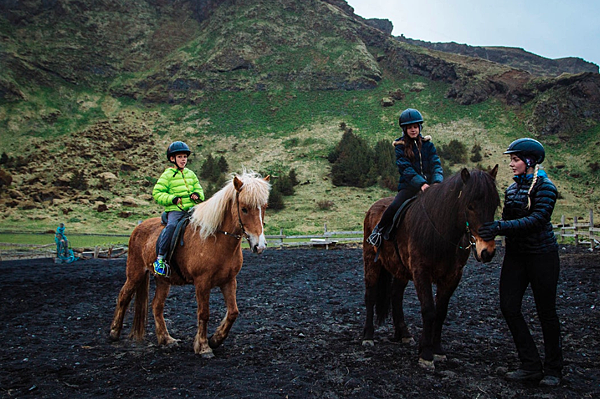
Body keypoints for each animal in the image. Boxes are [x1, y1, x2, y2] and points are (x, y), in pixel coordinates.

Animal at [110, 170, 272, 358]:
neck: (214, 238)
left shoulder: (229, 280)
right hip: (135, 273)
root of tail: (138, 227)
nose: (259, 245)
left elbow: (233, 312)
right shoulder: (202, 283)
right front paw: (203, 346)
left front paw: (215, 339)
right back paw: (114, 332)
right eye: (244, 209)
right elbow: (204, 313)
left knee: (156, 306)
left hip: (163, 280)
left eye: (265, 207)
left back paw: (166, 339)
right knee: (124, 296)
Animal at [364, 167, 500, 370]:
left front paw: (437, 350)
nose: (487, 251)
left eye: (494, 204)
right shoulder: (421, 273)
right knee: (371, 296)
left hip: (401, 270)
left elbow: (441, 313)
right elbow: (429, 310)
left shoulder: (452, 277)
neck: (440, 231)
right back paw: (368, 336)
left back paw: (403, 334)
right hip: (372, 263)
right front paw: (426, 354)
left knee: (396, 296)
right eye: (469, 206)